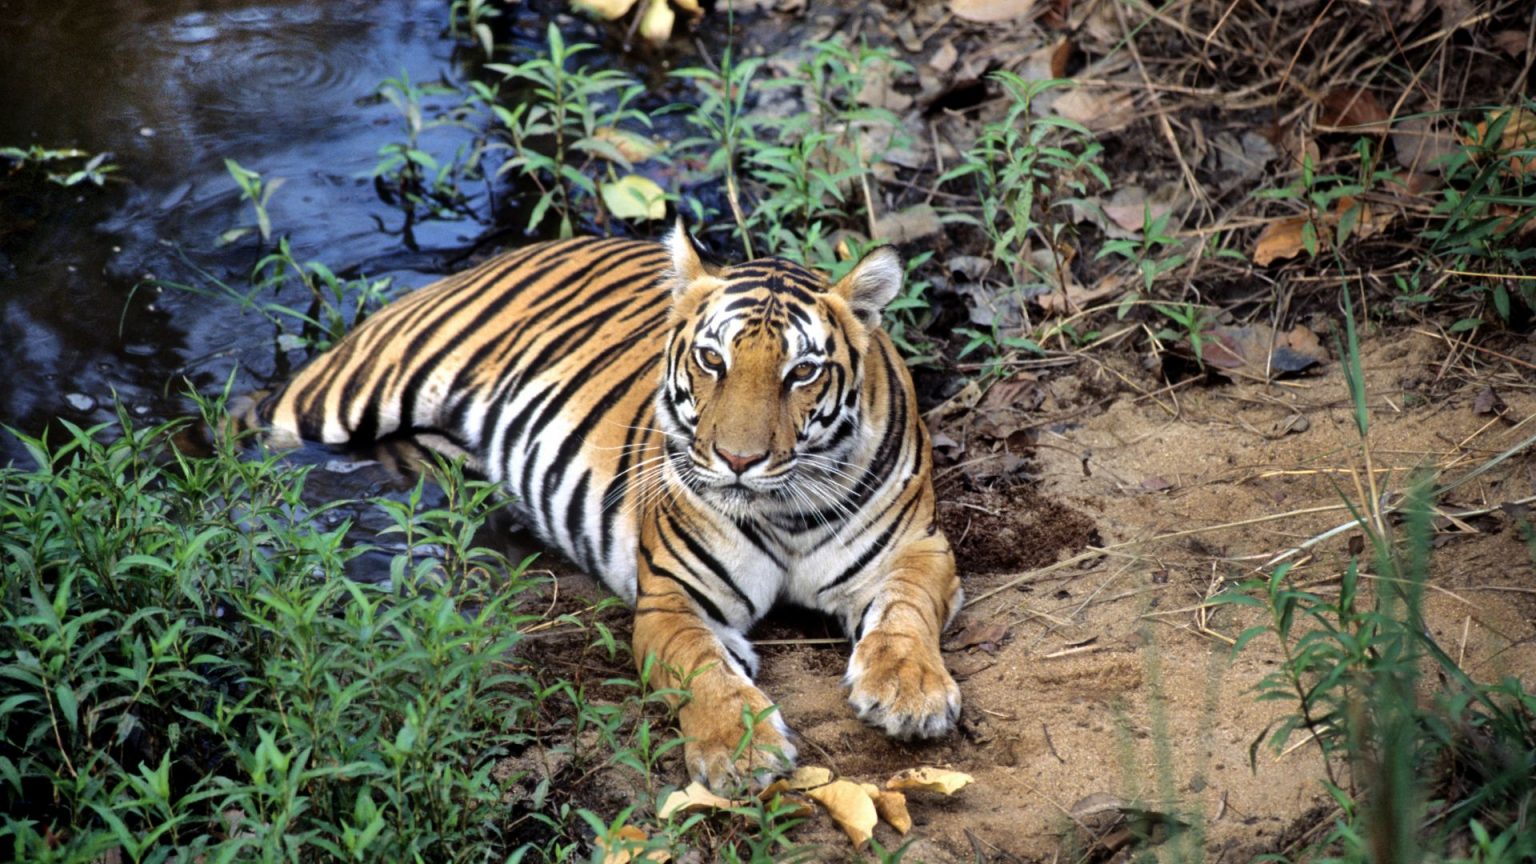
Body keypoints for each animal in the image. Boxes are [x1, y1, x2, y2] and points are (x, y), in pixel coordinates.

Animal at [246, 223, 963, 787]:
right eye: (712, 360)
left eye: (802, 373)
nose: (737, 460)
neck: (782, 509)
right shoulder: (671, 601)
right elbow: (705, 670)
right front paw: (740, 752)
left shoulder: (920, 545)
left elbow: (906, 611)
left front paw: (911, 692)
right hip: (332, 398)